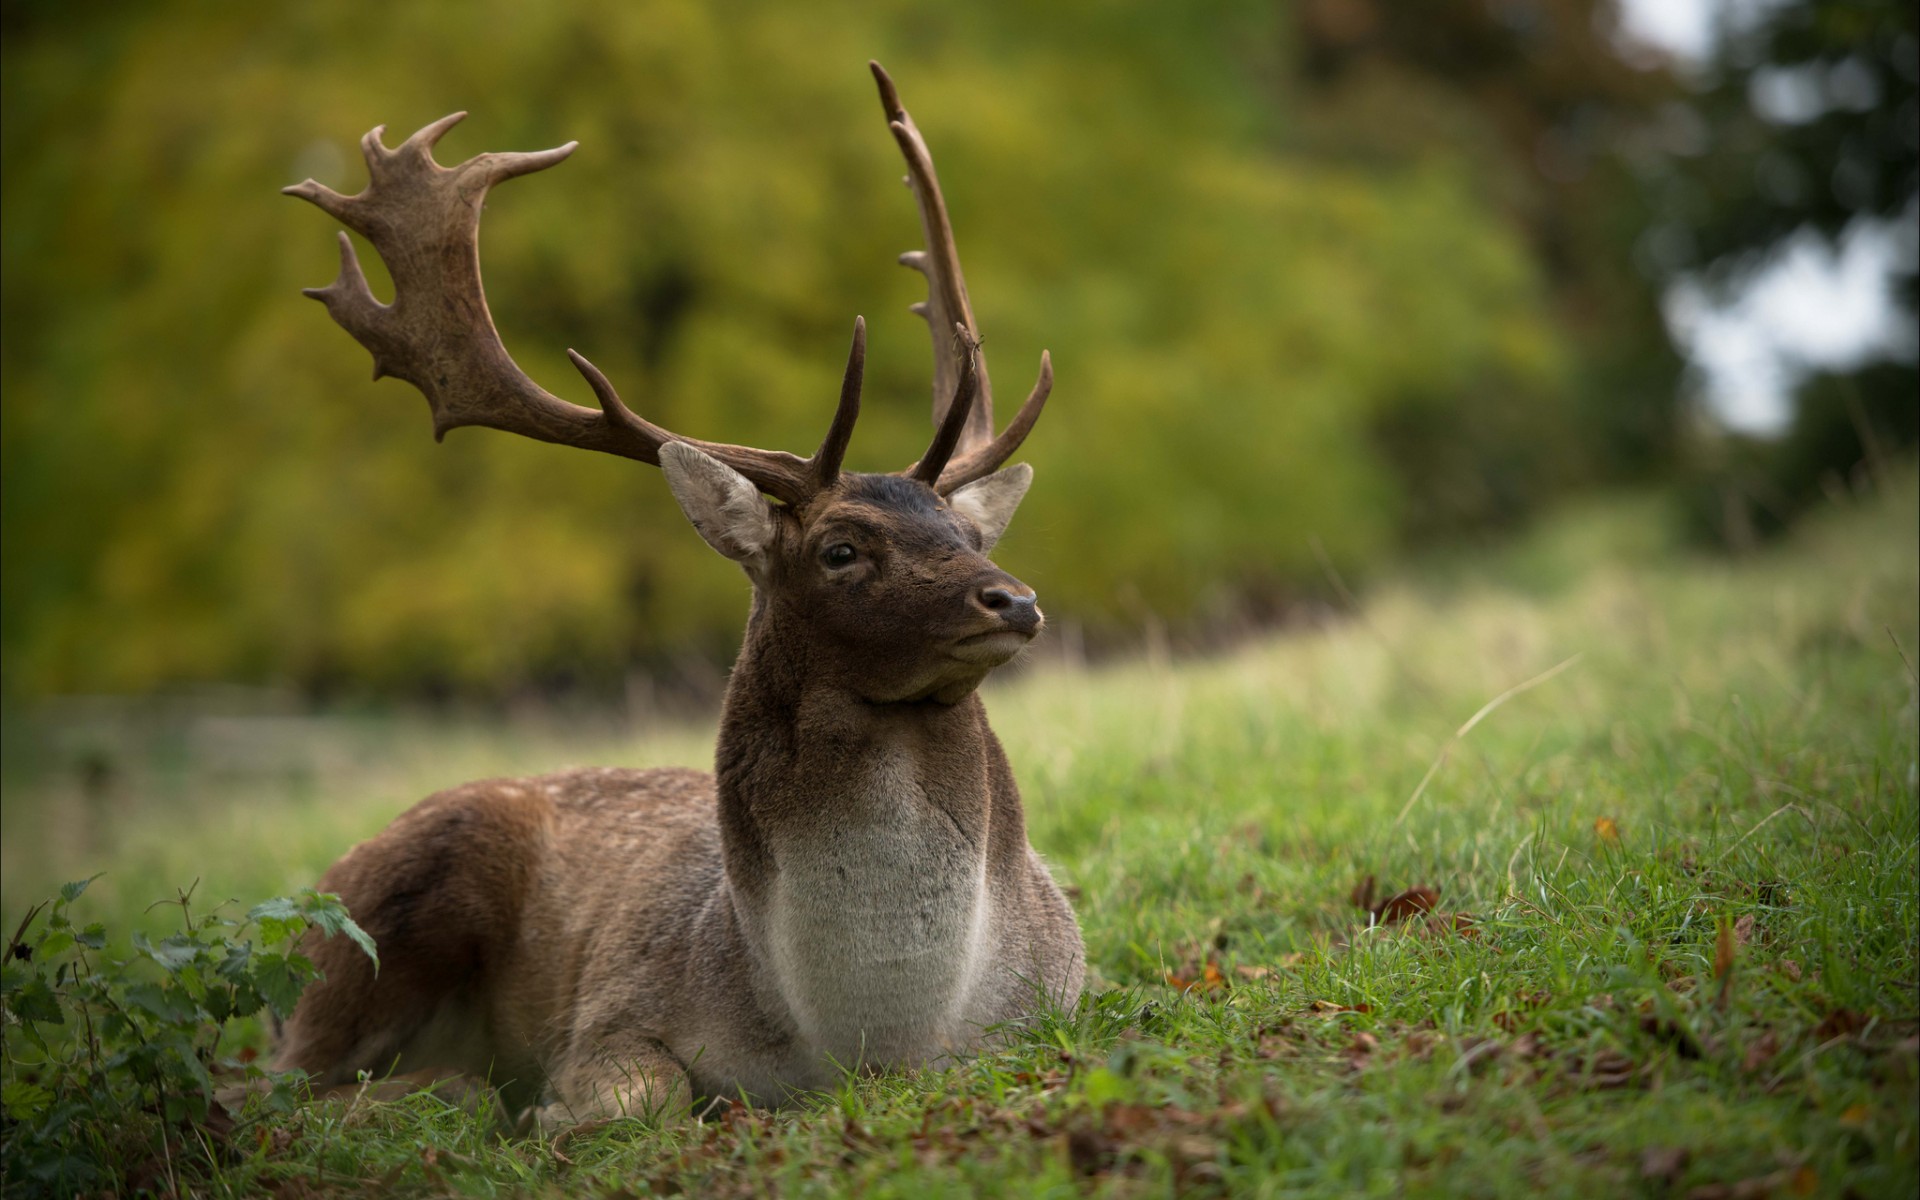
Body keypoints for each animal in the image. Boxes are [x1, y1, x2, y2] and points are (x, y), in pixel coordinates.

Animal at [270, 65, 1082, 1121]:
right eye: (840, 549)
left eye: (970, 533)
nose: (1013, 599)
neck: (868, 1038)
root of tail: (315, 883)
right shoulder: (618, 1006)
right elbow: (633, 1096)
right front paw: (545, 1109)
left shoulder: (1061, 995)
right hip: (369, 924)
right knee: (267, 1088)